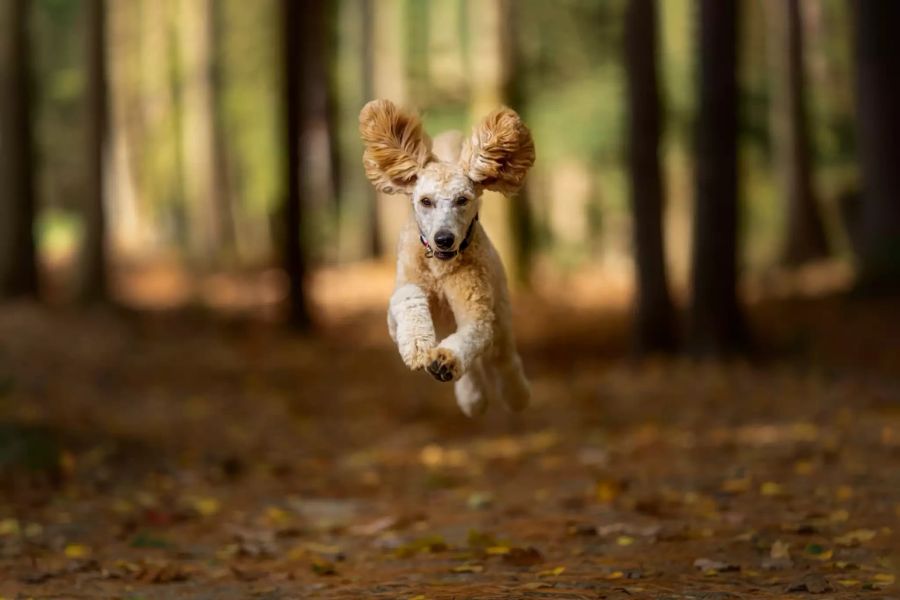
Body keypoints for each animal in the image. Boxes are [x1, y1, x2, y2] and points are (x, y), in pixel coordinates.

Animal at [358, 99, 536, 418]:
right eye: (425, 201)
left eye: (462, 200)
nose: (443, 238)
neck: (439, 267)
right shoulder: (399, 301)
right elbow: (407, 296)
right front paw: (418, 346)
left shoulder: (478, 308)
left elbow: (474, 332)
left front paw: (444, 359)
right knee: (475, 369)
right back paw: (472, 398)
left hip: (501, 320)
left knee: (502, 361)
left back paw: (515, 395)